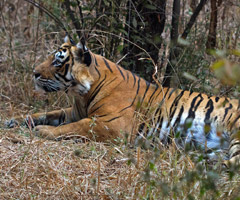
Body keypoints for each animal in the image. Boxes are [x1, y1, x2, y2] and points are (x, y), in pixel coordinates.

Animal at [5, 36, 240, 167]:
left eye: (57, 61)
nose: (34, 73)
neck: (83, 94)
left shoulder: (112, 124)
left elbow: (74, 127)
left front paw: (43, 131)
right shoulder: (74, 112)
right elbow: (46, 114)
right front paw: (13, 120)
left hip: (236, 131)